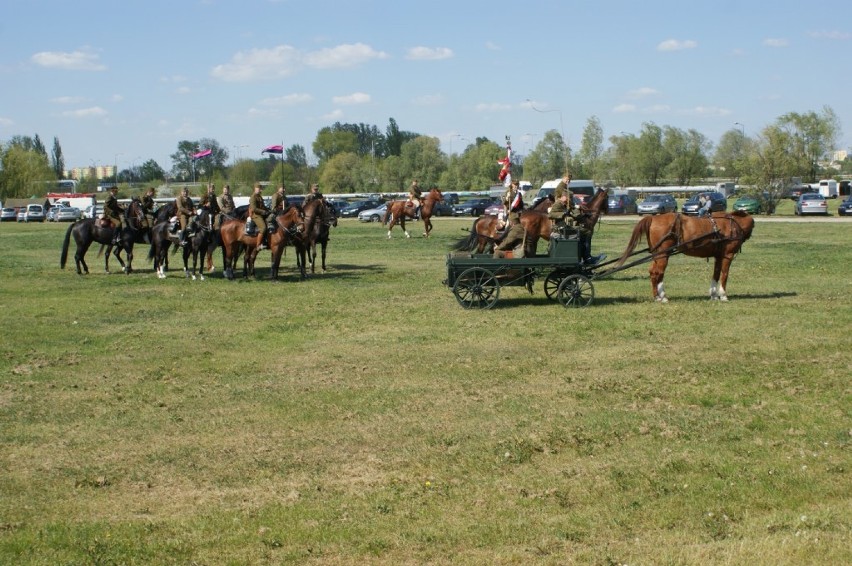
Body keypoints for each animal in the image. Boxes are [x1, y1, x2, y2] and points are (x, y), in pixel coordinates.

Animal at [612, 212, 752, 302]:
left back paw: (657, 296)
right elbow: (724, 275)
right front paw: (723, 296)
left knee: (653, 272)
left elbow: (716, 275)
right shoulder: (727, 255)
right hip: (663, 254)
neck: (733, 223)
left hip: (657, 254)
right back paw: (662, 297)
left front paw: (713, 295)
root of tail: (653, 218)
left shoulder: (718, 256)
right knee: (658, 272)